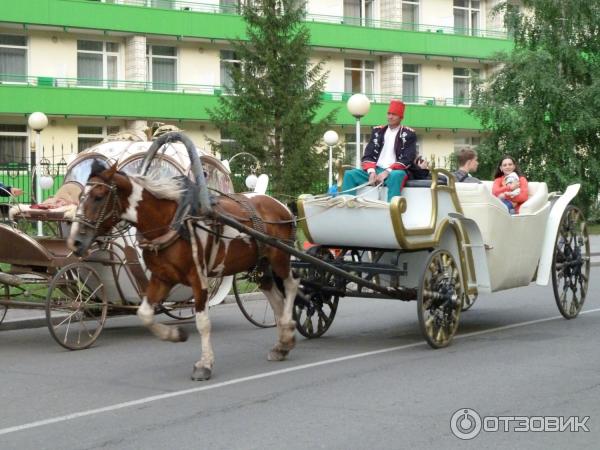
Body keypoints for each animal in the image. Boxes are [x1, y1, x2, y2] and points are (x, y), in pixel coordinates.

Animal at [67, 161, 298, 380]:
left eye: (98, 197)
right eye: (79, 196)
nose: (75, 242)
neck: (170, 221)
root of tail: (280, 205)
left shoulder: (199, 278)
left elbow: (203, 322)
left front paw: (204, 365)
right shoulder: (162, 278)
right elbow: (144, 314)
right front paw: (176, 334)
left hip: (280, 258)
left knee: (291, 285)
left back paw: (288, 328)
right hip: (261, 266)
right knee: (276, 298)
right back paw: (283, 343)